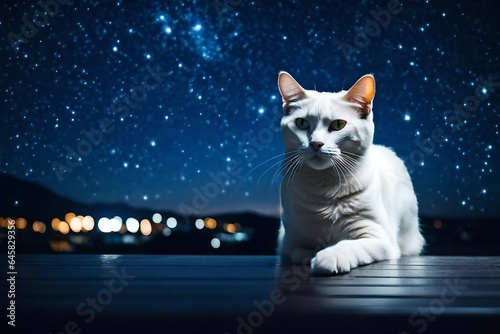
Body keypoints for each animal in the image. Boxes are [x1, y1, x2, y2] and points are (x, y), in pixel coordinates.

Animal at [276, 72, 424, 276]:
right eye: (302, 123)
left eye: (339, 124)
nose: (315, 143)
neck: (324, 188)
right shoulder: (290, 240)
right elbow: (300, 250)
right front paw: (315, 251)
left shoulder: (379, 237)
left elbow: (349, 245)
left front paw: (328, 256)